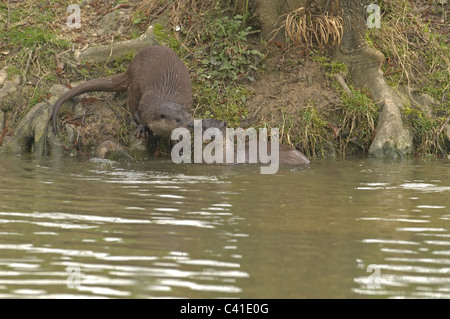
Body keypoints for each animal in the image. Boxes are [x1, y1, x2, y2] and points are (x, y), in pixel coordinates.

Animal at [51, 45, 194, 139]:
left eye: (190, 116)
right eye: (177, 119)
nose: (191, 124)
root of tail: (130, 66)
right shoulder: (145, 105)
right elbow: (137, 115)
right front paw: (142, 128)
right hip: (135, 83)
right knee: (131, 102)